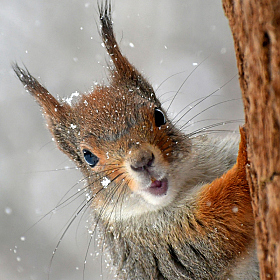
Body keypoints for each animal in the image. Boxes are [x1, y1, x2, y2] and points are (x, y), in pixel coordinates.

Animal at [12, 2, 258, 280]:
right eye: (88, 157)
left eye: (159, 115)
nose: (142, 161)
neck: (185, 183)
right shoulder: (156, 246)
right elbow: (216, 223)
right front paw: (245, 156)